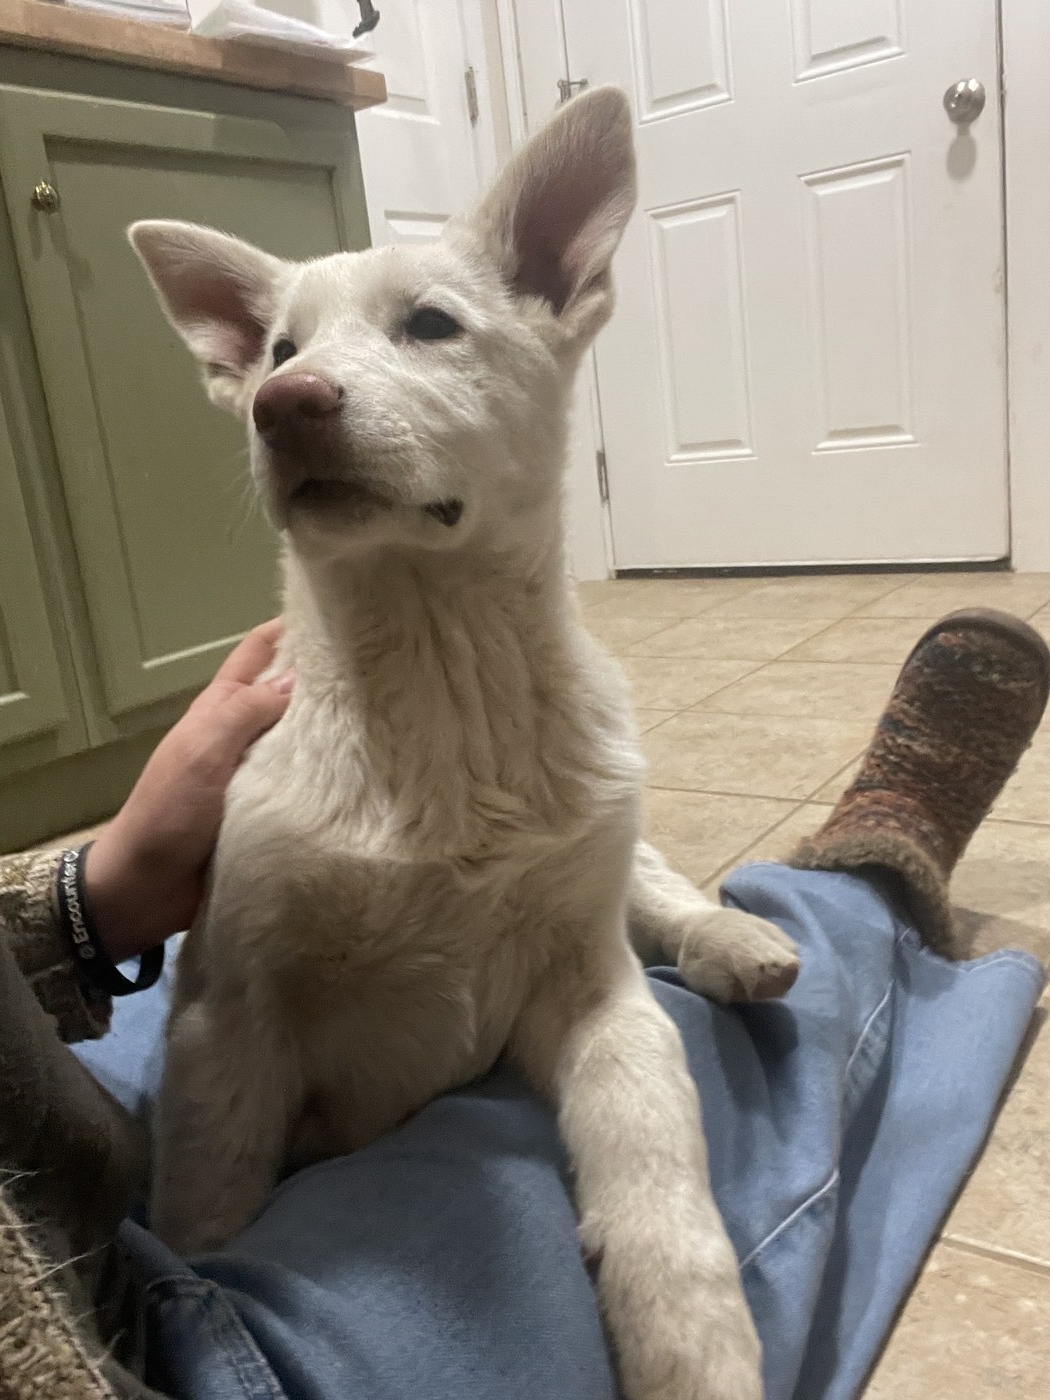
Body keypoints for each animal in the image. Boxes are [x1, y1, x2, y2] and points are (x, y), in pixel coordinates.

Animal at [130, 87, 799, 1400]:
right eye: (278, 351)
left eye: (431, 325)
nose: (286, 407)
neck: (443, 685)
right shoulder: (230, 1015)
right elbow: (208, 1202)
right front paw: (197, 1286)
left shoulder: (594, 986)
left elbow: (657, 1155)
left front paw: (692, 1339)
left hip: (610, 826)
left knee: (655, 881)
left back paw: (736, 938)